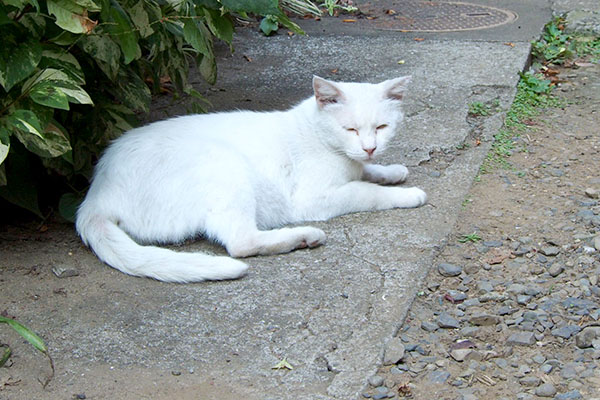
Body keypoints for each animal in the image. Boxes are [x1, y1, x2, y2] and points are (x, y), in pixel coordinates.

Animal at [76, 75, 426, 282]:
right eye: (350, 129)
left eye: (381, 128)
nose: (370, 147)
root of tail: (96, 194)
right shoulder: (313, 198)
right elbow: (367, 191)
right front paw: (408, 194)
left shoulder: (356, 165)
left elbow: (369, 173)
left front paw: (392, 171)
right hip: (225, 166)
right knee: (241, 243)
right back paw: (303, 236)